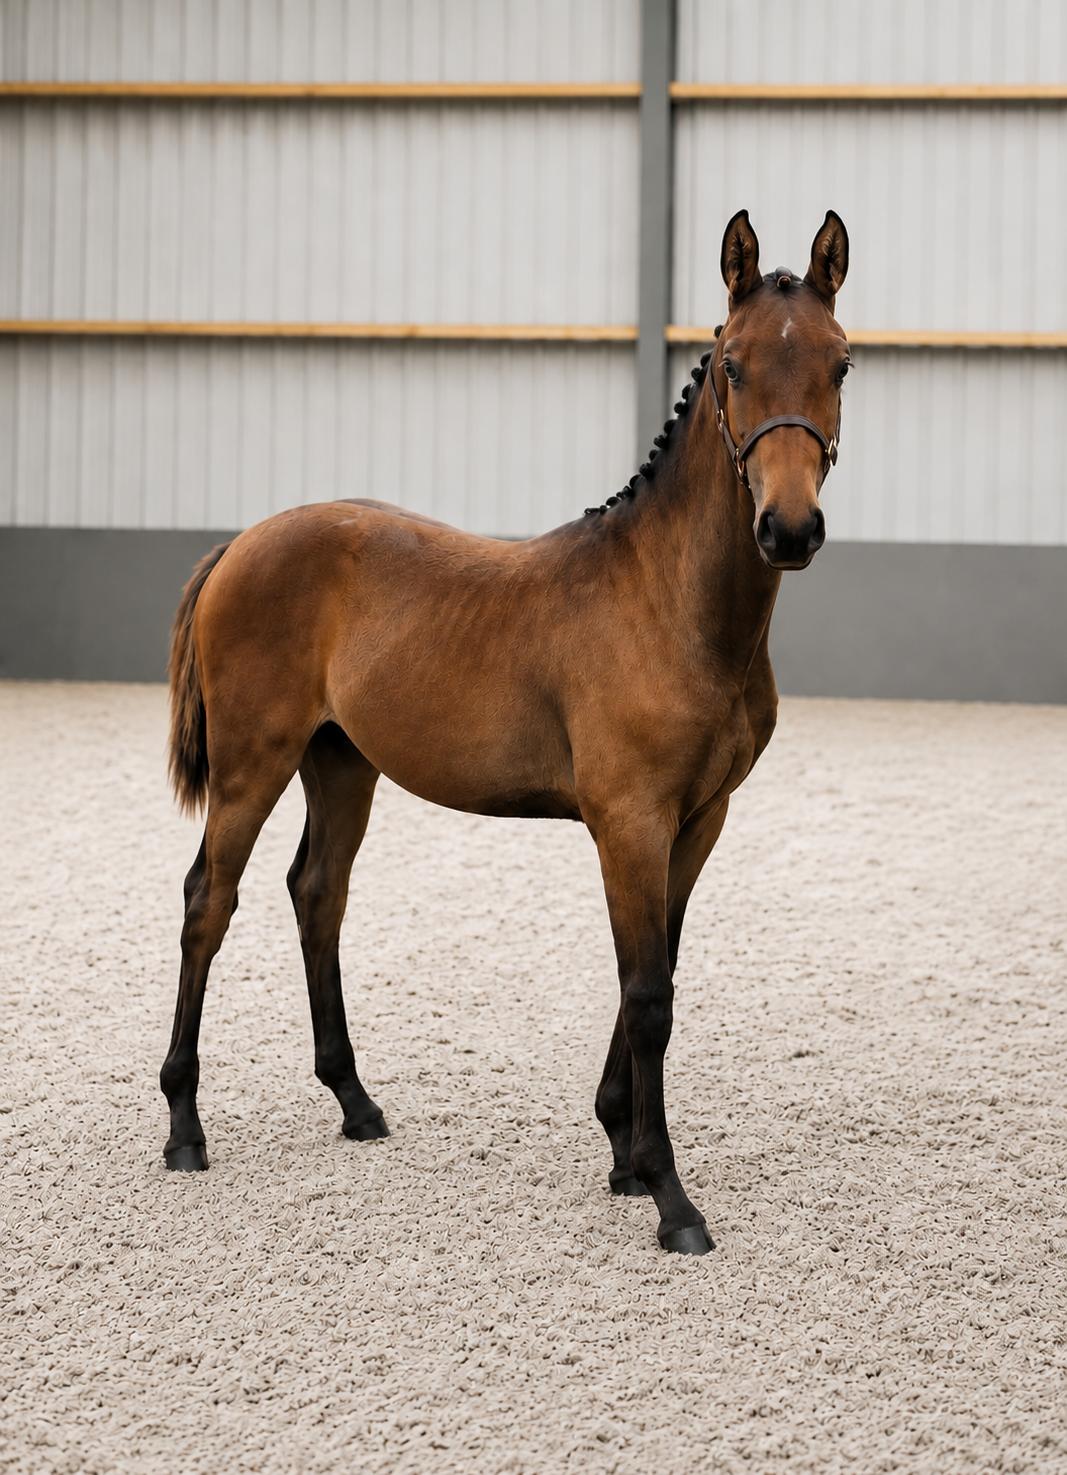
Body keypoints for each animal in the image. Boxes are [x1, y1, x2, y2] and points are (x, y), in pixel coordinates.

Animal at [161, 209, 851, 1255]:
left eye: (840, 363)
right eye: (733, 366)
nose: (789, 528)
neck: (669, 602)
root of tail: (242, 542)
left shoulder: (698, 821)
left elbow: (656, 967)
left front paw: (621, 1151)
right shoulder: (629, 823)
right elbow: (648, 995)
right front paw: (668, 1195)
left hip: (340, 763)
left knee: (317, 894)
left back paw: (355, 1102)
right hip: (253, 765)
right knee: (211, 900)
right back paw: (184, 1127)